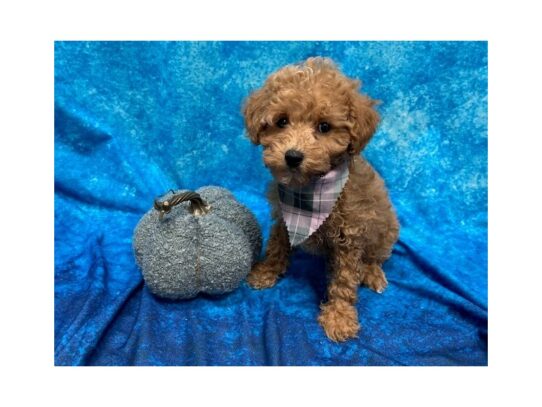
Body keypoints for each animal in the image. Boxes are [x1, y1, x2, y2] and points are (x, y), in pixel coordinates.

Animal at [243, 57, 400, 342]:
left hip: (386, 231)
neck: (310, 189)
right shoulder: (283, 220)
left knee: (375, 257)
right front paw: (267, 271)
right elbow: (276, 246)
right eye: (282, 121)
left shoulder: (350, 236)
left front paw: (339, 317)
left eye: (324, 127)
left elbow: (344, 280)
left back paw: (372, 272)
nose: (293, 156)